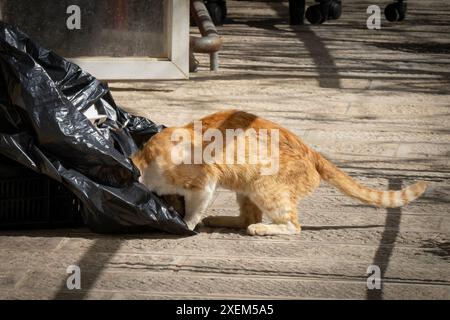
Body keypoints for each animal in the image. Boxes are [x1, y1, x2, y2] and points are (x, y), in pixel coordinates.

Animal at [131, 110, 428, 235]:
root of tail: (312, 151)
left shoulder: (204, 182)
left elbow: (194, 209)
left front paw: (186, 224)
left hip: (265, 186)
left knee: (292, 226)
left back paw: (261, 229)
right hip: (246, 187)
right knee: (248, 216)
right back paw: (224, 220)